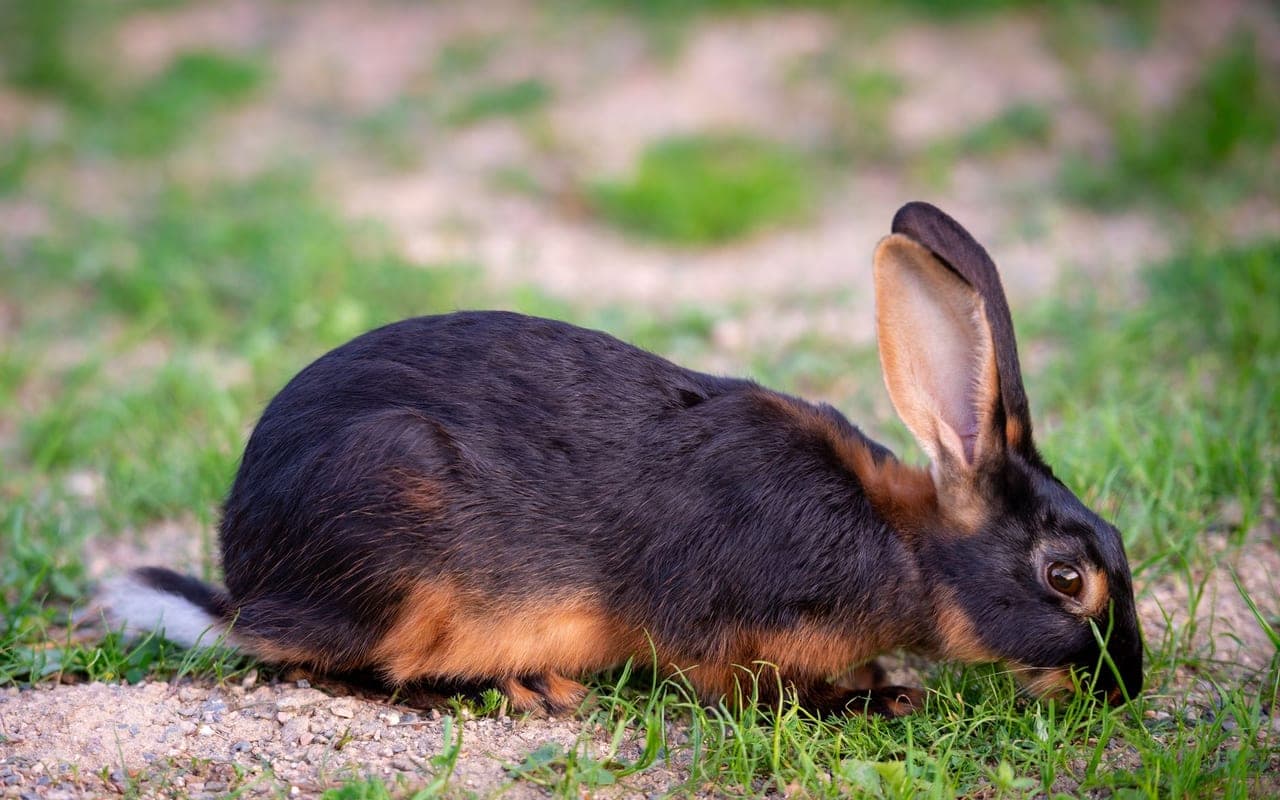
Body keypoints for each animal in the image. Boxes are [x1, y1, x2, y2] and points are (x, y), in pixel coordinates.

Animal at [104, 202, 1143, 717]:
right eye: (1067, 578)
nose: (1125, 686)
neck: (905, 546)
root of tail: (247, 584)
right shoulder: (729, 634)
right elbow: (746, 691)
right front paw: (879, 700)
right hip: (395, 540)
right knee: (354, 667)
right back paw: (526, 688)